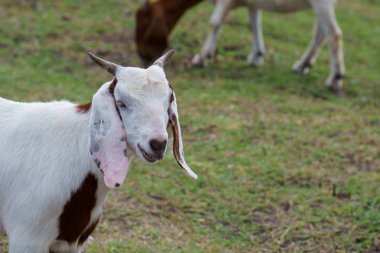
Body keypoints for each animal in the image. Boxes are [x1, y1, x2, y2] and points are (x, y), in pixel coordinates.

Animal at [194, 0, 346, 94]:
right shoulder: (252, 3)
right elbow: (253, 23)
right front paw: (256, 56)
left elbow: (214, 23)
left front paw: (200, 59)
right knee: (321, 34)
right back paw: (302, 65)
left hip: (322, 3)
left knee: (334, 34)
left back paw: (335, 78)